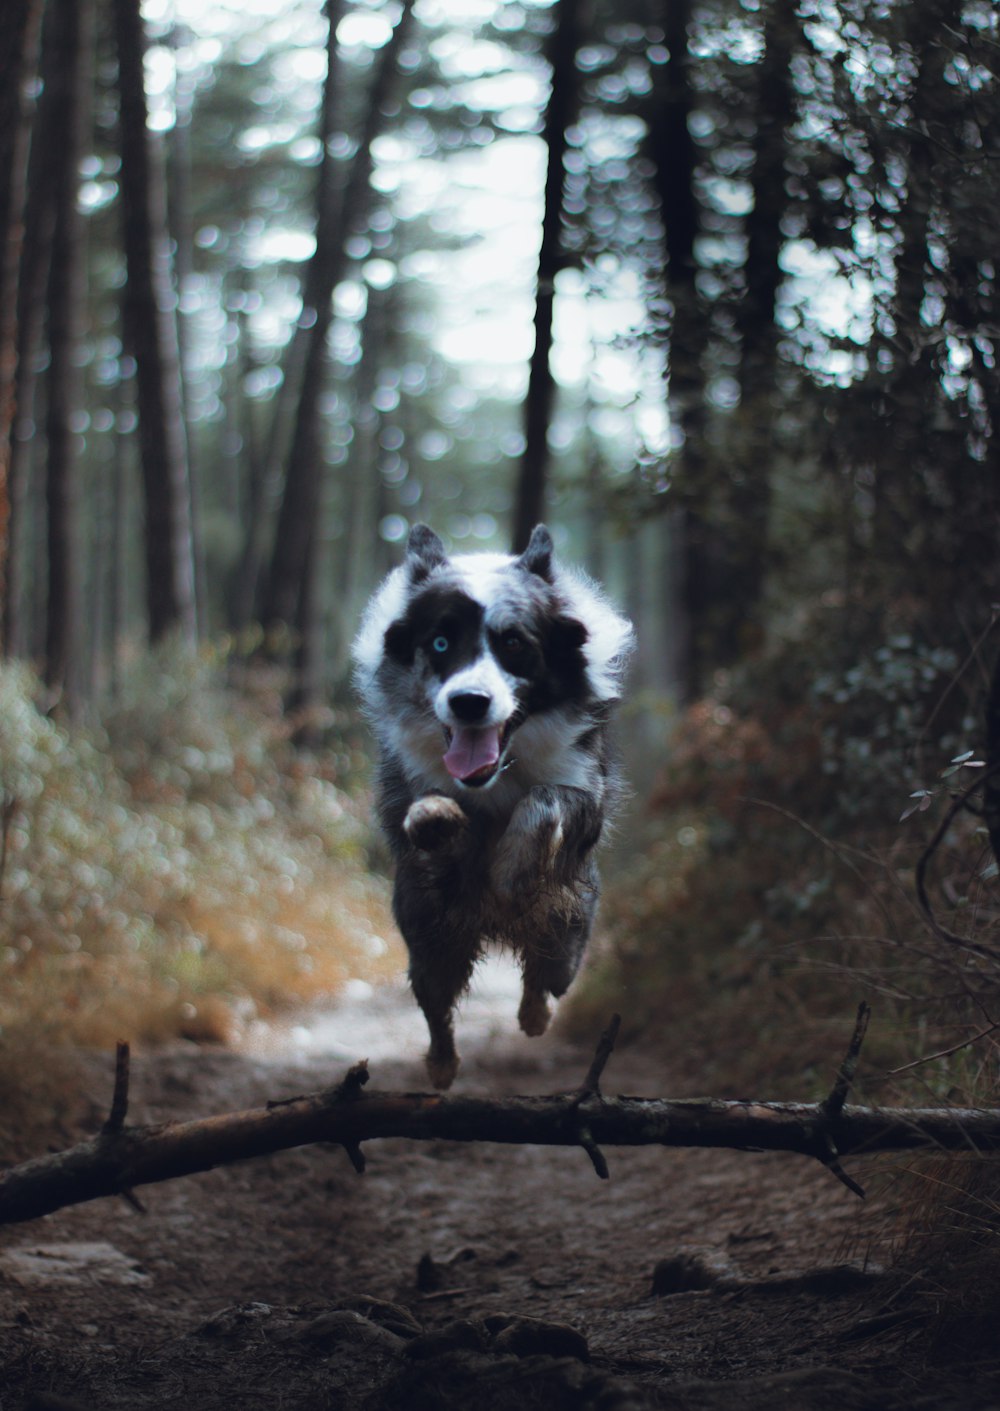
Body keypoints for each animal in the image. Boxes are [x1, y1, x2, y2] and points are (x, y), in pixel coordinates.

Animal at [351, 524, 631, 1083]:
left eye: (514, 644)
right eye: (439, 642)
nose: (469, 702)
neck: (495, 774)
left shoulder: (584, 792)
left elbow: (546, 799)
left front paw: (512, 870)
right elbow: (432, 820)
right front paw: (437, 818)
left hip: (568, 930)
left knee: (545, 981)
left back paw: (533, 1017)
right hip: (427, 933)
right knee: (436, 1007)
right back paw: (441, 1067)